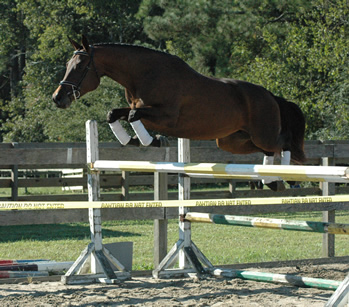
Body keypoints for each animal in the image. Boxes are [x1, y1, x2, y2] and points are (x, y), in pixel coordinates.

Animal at [52, 35, 304, 190]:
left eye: (80, 67)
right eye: (67, 65)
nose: (57, 98)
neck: (144, 74)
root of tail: (271, 95)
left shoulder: (167, 118)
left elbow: (133, 116)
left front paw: (153, 141)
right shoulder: (138, 109)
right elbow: (113, 114)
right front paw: (133, 141)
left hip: (262, 133)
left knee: (283, 144)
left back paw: (289, 179)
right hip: (232, 141)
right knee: (268, 150)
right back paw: (271, 180)